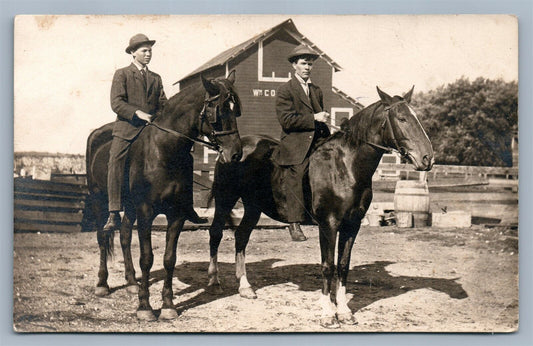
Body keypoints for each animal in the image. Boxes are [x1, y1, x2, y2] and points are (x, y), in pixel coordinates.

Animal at [84, 71, 242, 322]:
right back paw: (102, 284)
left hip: (130, 207)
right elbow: (147, 258)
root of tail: (97, 133)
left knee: (125, 236)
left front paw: (168, 305)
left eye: (236, 110)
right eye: (217, 110)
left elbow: (169, 258)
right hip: (100, 201)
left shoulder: (176, 215)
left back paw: (131, 282)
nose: (235, 154)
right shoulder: (146, 212)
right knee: (103, 237)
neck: (164, 151)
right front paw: (145, 307)